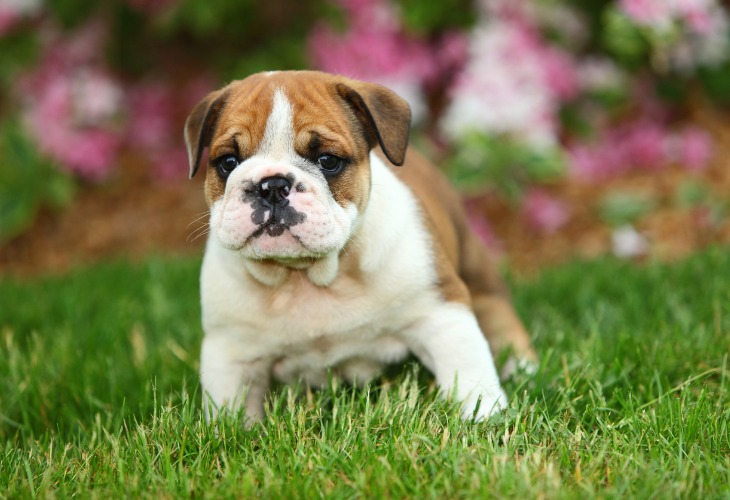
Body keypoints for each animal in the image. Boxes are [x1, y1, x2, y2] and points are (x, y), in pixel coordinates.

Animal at [183, 70, 536, 426]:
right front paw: (232, 432)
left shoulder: (439, 312)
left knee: (498, 313)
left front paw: (485, 417)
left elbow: (469, 371)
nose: (272, 185)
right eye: (228, 162)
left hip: (476, 271)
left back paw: (523, 366)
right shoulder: (230, 350)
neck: (307, 276)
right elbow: (229, 408)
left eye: (327, 161)